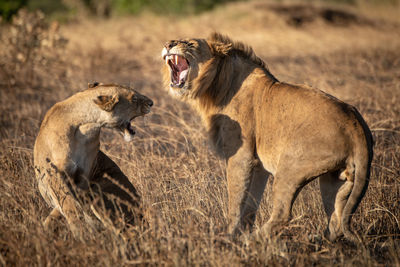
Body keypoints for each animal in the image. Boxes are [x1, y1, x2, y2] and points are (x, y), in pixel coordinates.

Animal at [33, 82, 153, 238]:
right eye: (134, 98)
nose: (152, 103)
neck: (84, 126)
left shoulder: (84, 175)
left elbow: (68, 204)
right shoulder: (52, 173)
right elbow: (68, 203)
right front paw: (77, 230)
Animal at [161, 32, 374, 242]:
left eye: (190, 43)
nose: (168, 44)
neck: (216, 86)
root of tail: (356, 125)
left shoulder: (240, 156)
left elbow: (235, 201)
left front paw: (229, 237)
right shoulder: (258, 165)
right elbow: (250, 204)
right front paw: (240, 232)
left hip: (290, 167)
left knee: (283, 214)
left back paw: (252, 240)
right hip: (337, 178)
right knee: (336, 220)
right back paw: (318, 242)